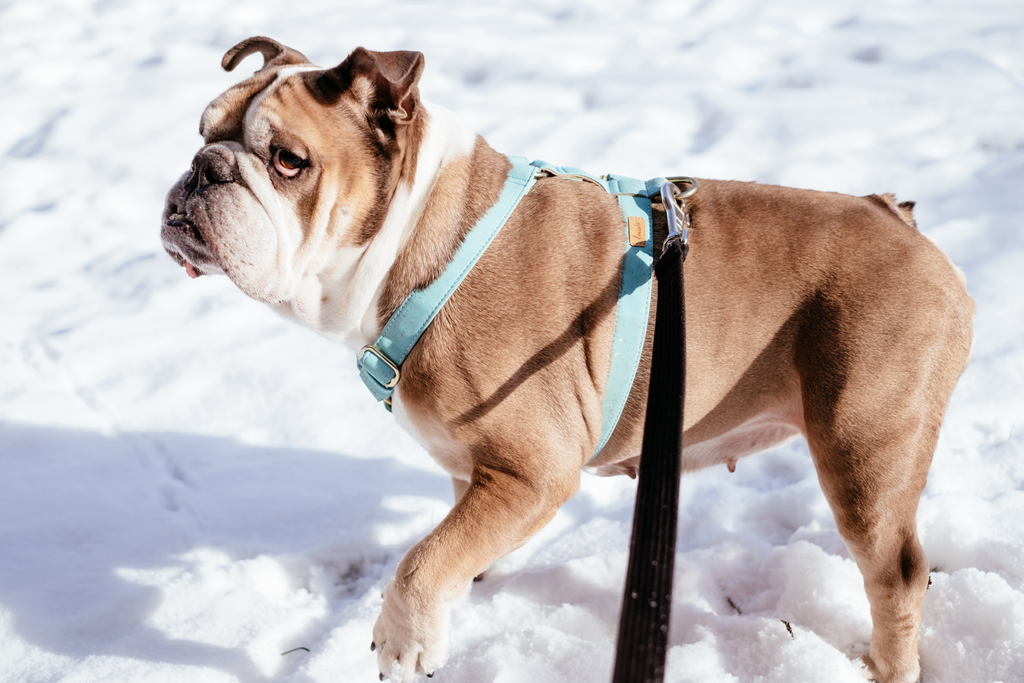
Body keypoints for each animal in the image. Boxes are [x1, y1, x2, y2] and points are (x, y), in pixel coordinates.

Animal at [159, 37, 974, 683]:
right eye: (200, 131)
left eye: (287, 161)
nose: (203, 169)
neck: (418, 238)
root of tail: (903, 223)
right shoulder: (479, 475)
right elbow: (451, 543)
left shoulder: (533, 470)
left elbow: (422, 563)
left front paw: (404, 641)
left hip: (863, 447)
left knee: (898, 575)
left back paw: (887, 665)